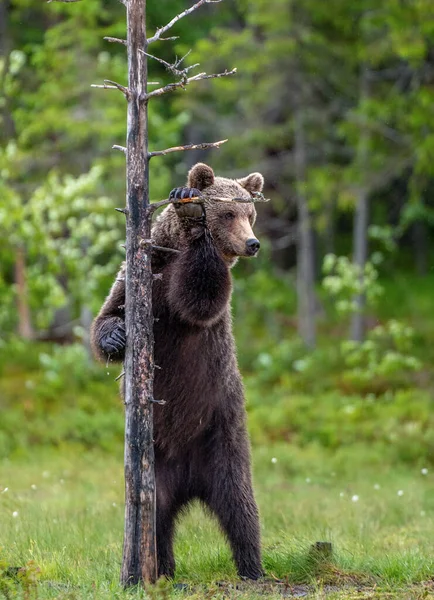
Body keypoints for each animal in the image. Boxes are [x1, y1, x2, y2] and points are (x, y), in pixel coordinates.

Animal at [91, 162, 264, 580]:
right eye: (230, 213)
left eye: (250, 214)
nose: (253, 243)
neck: (173, 252)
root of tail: (190, 481)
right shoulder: (137, 276)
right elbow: (106, 316)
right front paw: (116, 336)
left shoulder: (196, 306)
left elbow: (201, 297)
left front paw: (192, 209)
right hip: (153, 471)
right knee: (157, 518)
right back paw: (159, 568)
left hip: (221, 432)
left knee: (239, 504)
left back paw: (252, 567)